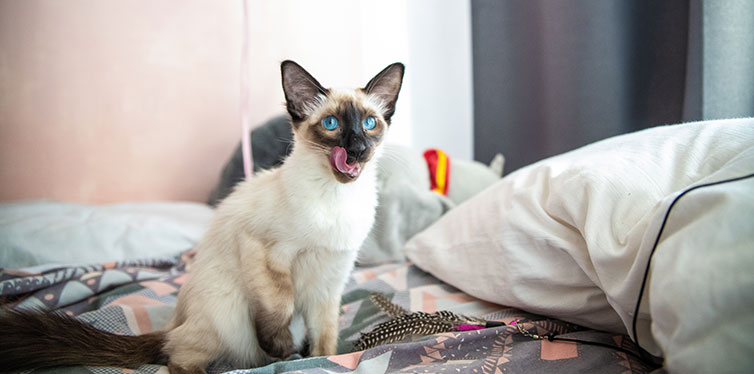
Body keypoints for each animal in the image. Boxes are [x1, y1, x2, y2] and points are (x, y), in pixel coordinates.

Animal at [0, 60, 406, 372]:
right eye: (332, 125)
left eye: (369, 124)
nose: (356, 149)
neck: (337, 197)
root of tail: (173, 323)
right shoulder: (264, 250)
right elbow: (280, 306)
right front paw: (282, 350)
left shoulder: (330, 281)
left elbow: (326, 341)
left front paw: (320, 360)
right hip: (226, 314)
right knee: (176, 356)